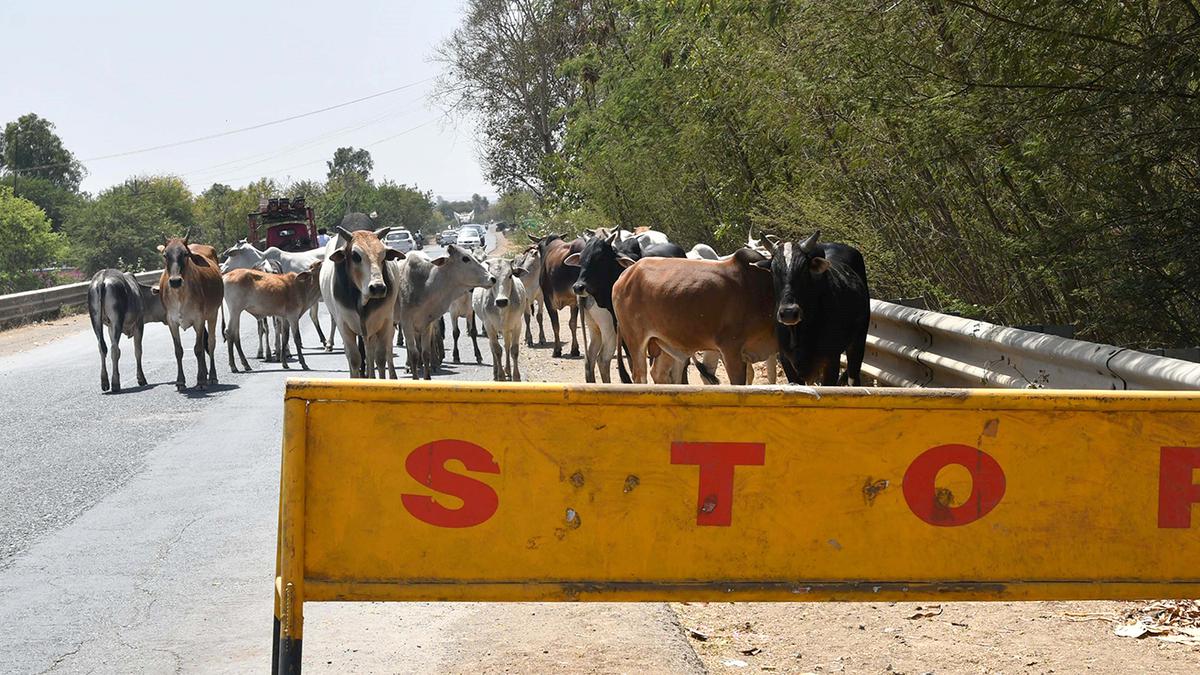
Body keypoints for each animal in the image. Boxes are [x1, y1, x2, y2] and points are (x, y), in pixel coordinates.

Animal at [157, 234, 225, 389]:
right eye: (165, 255)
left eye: (185, 254)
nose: (175, 281)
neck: (180, 295)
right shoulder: (172, 322)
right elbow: (179, 350)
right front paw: (180, 381)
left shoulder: (199, 319)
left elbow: (198, 349)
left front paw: (200, 380)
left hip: (213, 314)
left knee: (210, 343)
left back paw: (212, 376)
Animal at [316, 223, 405, 374]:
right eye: (355, 256)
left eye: (383, 256)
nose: (378, 287)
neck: (362, 300)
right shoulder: (344, 325)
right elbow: (354, 359)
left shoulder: (384, 322)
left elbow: (380, 358)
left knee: (373, 353)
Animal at [396, 241, 494, 379]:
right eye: (465, 258)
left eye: (485, 257)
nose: (492, 278)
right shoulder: (451, 313)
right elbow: (455, 333)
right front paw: (455, 356)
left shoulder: (469, 312)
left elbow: (473, 332)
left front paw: (478, 356)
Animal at [763, 230, 868, 386]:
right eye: (773, 270)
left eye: (803, 269)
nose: (789, 313)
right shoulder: (786, 361)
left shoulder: (831, 360)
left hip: (858, 343)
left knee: (853, 378)